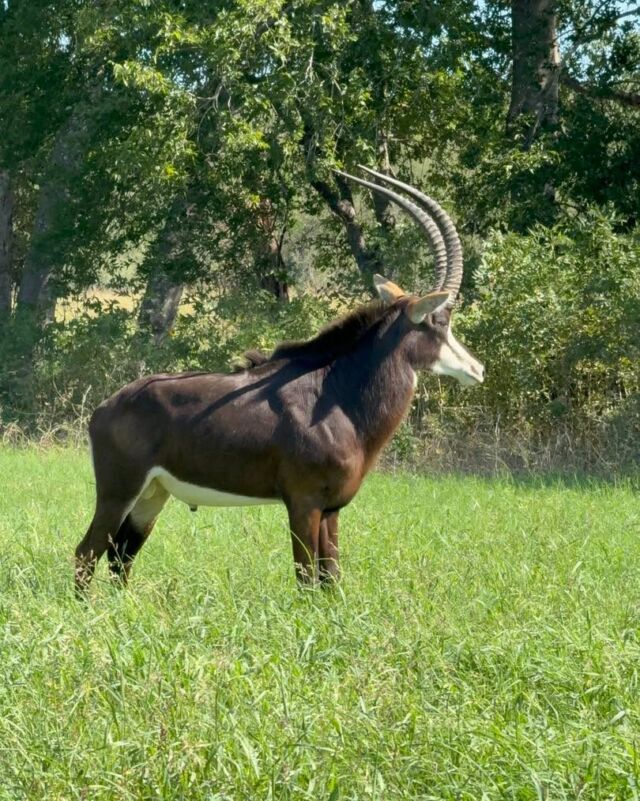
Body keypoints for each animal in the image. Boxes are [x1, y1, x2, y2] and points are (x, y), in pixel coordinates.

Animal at [75, 167, 484, 593]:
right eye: (441, 321)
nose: (477, 370)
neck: (335, 397)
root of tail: (105, 408)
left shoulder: (331, 509)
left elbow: (330, 578)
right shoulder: (303, 502)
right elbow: (306, 577)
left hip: (152, 494)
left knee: (121, 556)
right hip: (120, 489)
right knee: (87, 552)